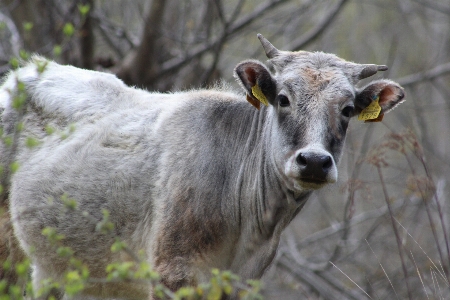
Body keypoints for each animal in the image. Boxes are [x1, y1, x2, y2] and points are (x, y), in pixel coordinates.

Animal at [0, 34, 404, 298]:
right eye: (283, 99)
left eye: (347, 110)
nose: (315, 161)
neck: (251, 226)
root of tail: (29, 70)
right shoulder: (174, 273)